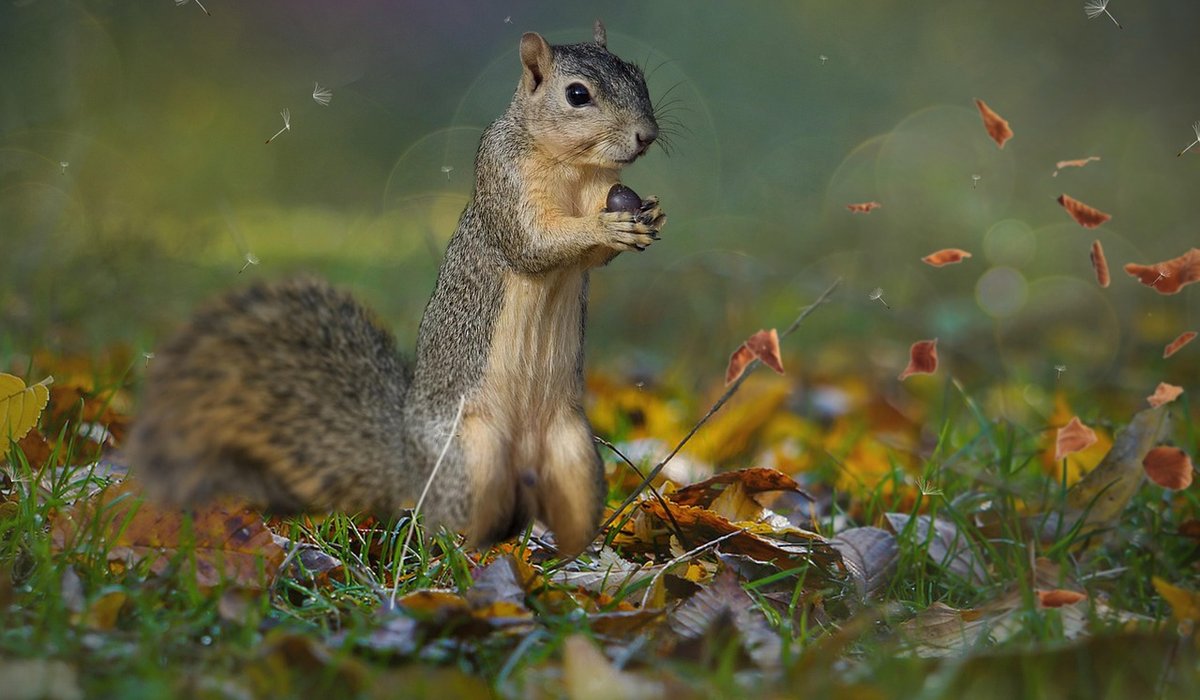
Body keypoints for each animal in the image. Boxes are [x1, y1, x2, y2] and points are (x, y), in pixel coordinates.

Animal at [126, 21, 665, 556]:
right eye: (577, 95)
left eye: (638, 75)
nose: (647, 136)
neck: (572, 165)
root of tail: (410, 461)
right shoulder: (505, 181)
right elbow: (531, 243)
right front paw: (604, 227)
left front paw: (648, 216)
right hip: (472, 457)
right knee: (456, 524)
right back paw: (473, 554)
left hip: (576, 458)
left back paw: (577, 557)